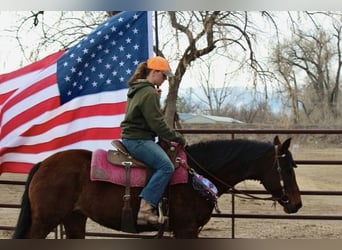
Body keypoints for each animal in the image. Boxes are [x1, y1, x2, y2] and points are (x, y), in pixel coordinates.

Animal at [12, 136, 302, 239]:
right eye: (287, 168)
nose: (297, 203)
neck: (195, 176)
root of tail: (43, 163)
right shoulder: (186, 230)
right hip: (45, 221)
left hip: (74, 219)